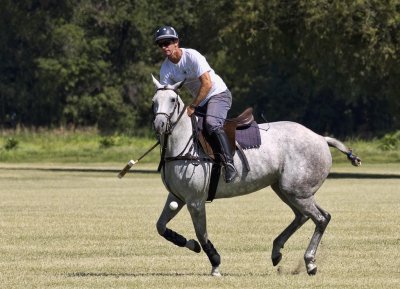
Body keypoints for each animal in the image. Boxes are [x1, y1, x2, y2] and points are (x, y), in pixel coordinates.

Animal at [152, 75, 360, 276]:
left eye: (172, 100)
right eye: (154, 101)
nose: (159, 125)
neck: (184, 144)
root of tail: (321, 138)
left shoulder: (195, 200)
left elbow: (202, 234)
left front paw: (216, 264)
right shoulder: (177, 197)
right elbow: (161, 226)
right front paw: (190, 244)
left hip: (297, 191)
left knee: (320, 218)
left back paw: (310, 263)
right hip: (287, 190)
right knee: (306, 216)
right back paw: (277, 252)